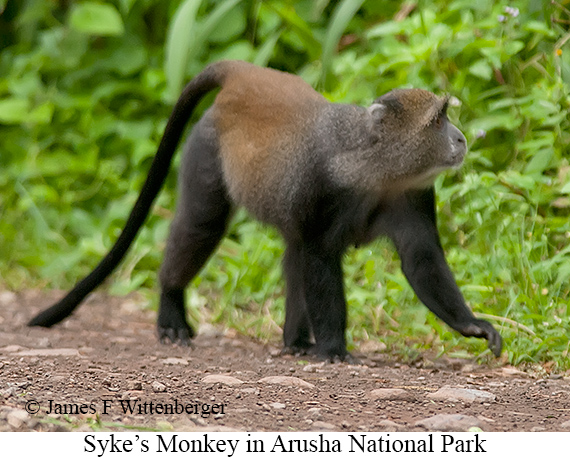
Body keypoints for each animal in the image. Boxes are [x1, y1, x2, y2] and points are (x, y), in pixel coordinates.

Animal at [30, 60, 502, 360]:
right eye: (438, 121)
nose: (461, 139)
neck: (377, 170)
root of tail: (243, 76)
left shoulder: (413, 195)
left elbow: (422, 260)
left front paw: (472, 325)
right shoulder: (320, 187)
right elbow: (320, 260)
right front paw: (334, 351)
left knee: (291, 255)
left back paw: (295, 343)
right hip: (205, 151)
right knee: (203, 225)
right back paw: (171, 308)